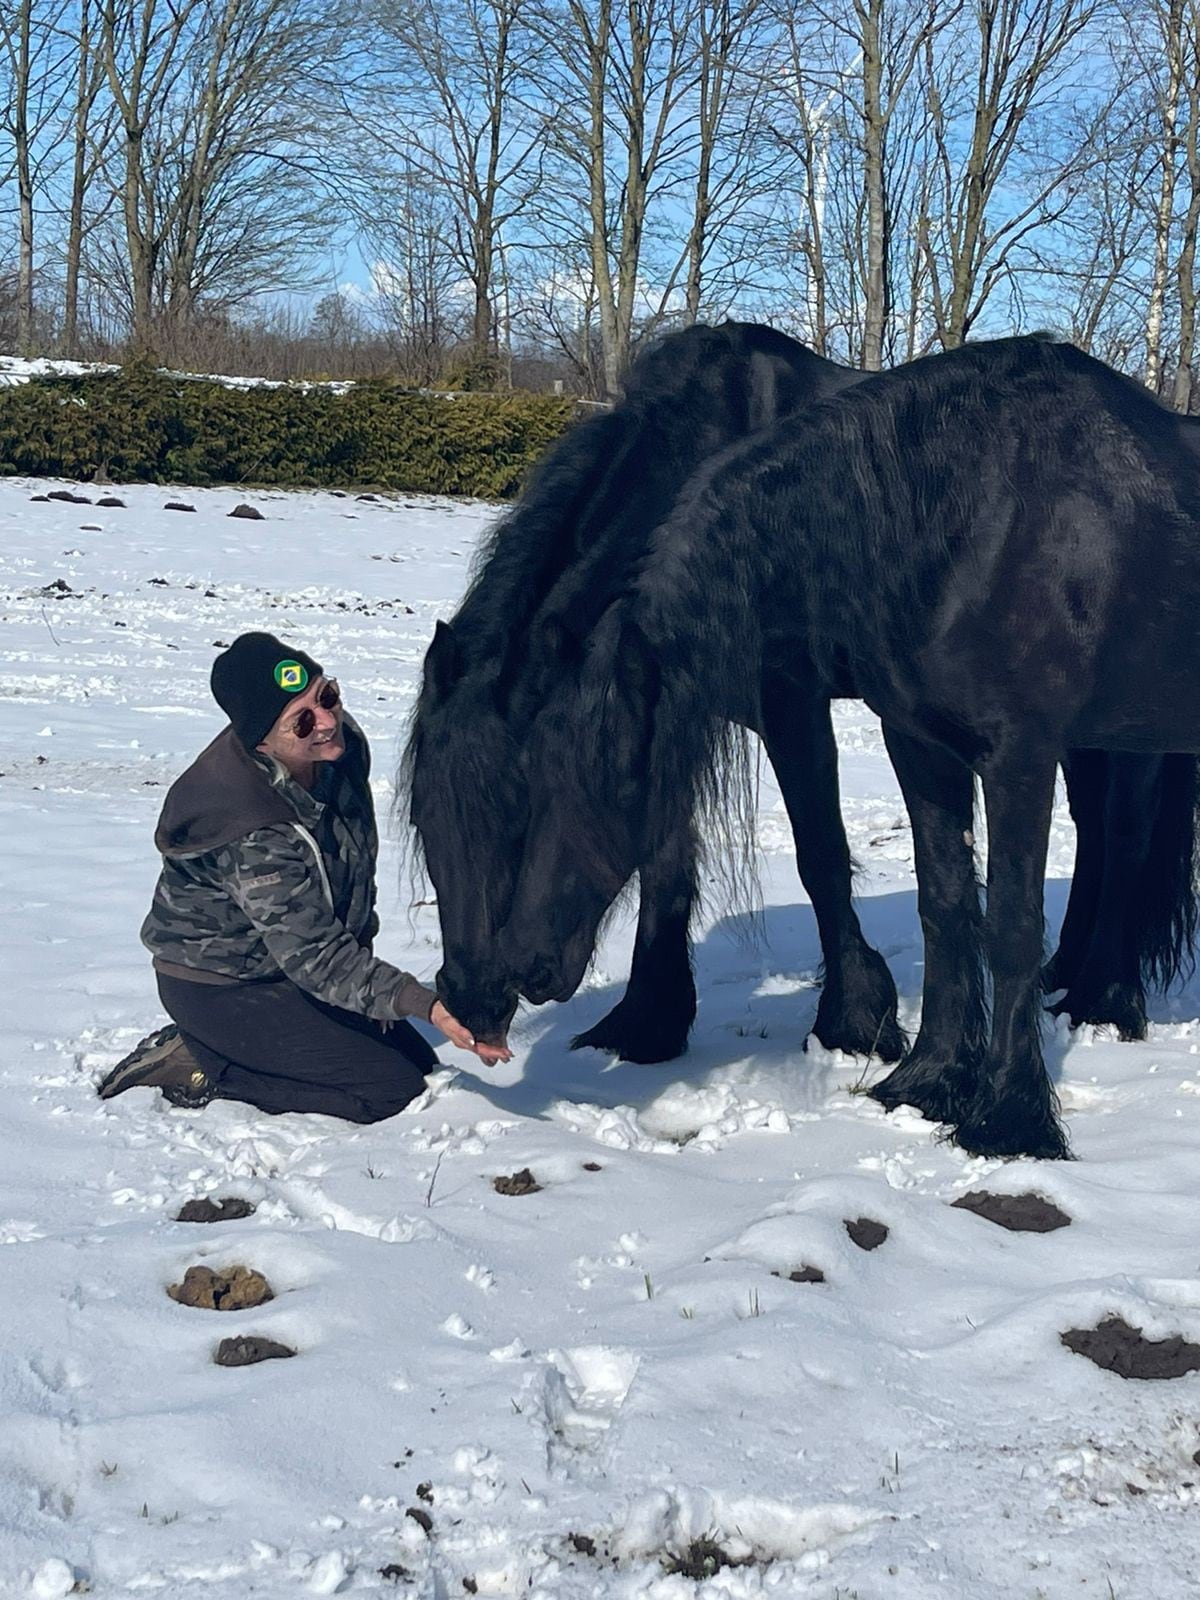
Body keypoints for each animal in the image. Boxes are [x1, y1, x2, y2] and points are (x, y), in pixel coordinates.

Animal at [496, 337, 1200, 1164]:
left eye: (608, 785)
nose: (523, 964)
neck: (968, 521)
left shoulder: (1016, 756)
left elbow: (1010, 926)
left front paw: (1009, 1117)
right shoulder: (922, 746)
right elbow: (945, 907)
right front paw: (931, 1080)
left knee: (1121, 847)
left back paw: (1107, 1004)